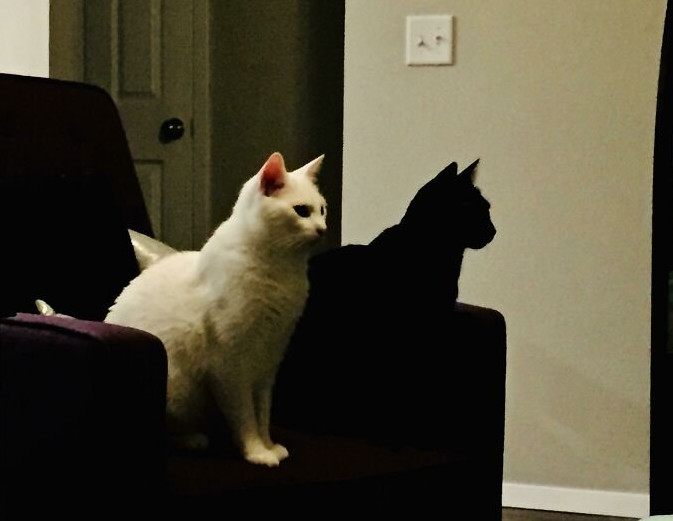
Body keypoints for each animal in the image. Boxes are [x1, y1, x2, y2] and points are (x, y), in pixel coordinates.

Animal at [105, 151, 327, 467]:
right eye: (302, 211)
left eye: (322, 209)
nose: (323, 229)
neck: (282, 271)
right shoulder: (230, 366)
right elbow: (245, 418)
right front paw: (257, 452)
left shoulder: (268, 364)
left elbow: (263, 415)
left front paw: (269, 446)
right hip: (178, 391)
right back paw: (193, 440)